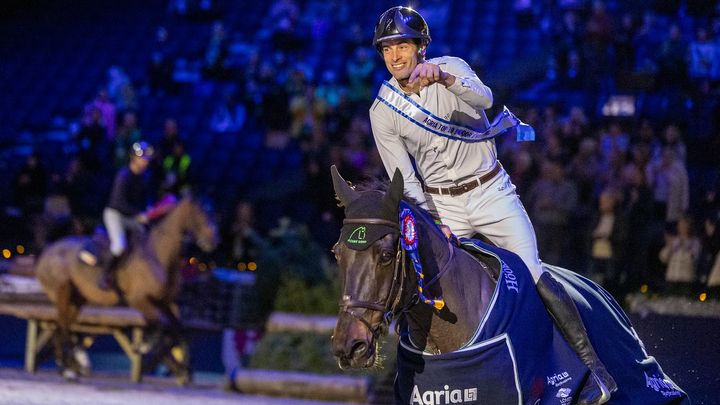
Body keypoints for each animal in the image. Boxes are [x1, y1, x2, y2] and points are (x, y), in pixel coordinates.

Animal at [33, 197, 218, 380]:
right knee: (62, 329)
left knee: (63, 328)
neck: (158, 255)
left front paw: (184, 367)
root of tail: (46, 253)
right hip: (63, 295)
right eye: (199, 214)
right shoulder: (139, 300)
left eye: (212, 214)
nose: (213, 241)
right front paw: (144, 345)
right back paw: (67, 369)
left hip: (76, 300)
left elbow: (179, 331)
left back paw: (72, 366)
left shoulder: (165, 302)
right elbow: (158, 325)